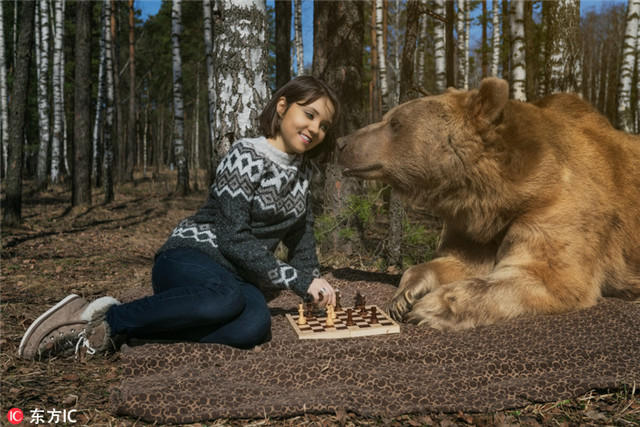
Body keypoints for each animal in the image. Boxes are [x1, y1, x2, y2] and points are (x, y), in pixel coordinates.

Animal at [336, 77, 640, 332]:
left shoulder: (557, 205)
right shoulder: (472, 224)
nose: (341, 142)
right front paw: (403, 295)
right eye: (389, 118)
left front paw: (432, 307)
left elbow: (547, 276)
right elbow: (458, 261)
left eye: (395, 123)